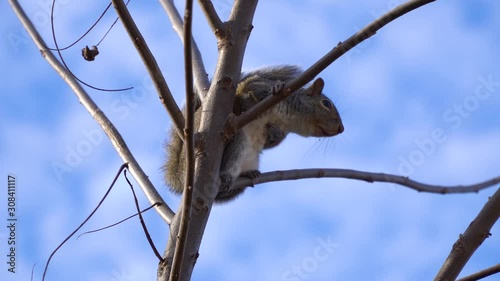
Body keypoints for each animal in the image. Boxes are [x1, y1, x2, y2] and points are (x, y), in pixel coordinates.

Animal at [164, 65, 344, 201]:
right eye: (326, 104)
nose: (341, 129)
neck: (288, 120)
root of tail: (181, 179)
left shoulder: (282, 130)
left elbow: (271, 143)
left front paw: (273, 133)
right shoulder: (254, 86)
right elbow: (250, 91)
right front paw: (276, 88)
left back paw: (249, 174)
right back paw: (225, 176)